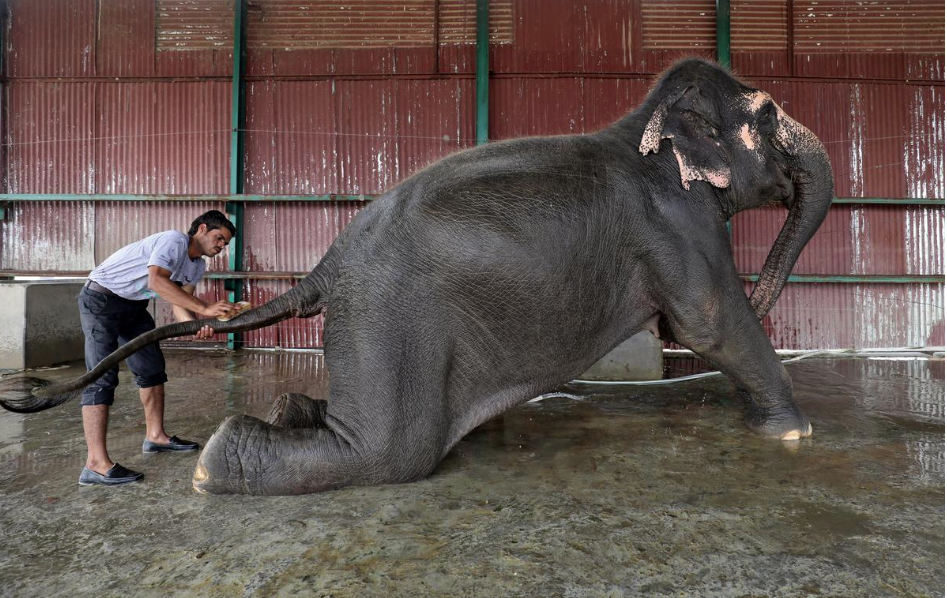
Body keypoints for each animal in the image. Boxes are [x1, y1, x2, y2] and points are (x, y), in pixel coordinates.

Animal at [1, 59, 834, 495]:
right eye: (768, 111)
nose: (771, 286)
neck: (646, 128)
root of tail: (328, 263)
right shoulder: (675, 223)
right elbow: (705, 320)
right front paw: (795, 436)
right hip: (390, 317)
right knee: (387, 453)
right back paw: (214, 466)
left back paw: (289, 408)